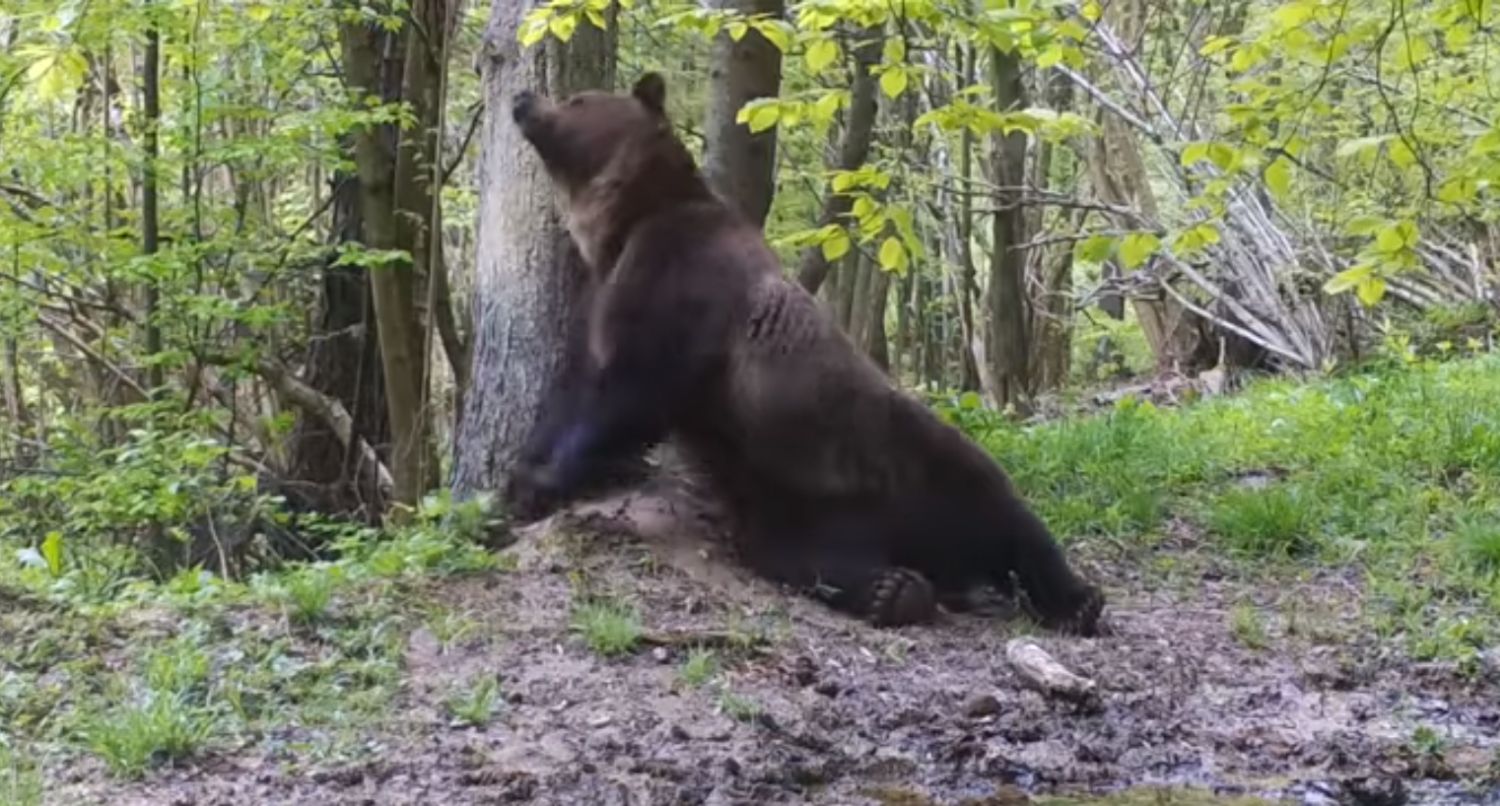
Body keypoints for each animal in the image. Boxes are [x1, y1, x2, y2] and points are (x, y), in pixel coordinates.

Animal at [504, 72, 1104, 630]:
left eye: (578, 98)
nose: (524, 98)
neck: (621, 228)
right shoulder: (600, 297)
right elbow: (574, 385)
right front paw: (523, 470)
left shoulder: (682, 281)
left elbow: (632, 391)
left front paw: (541, 482)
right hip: (788, 498)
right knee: (804, 556)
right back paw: (892, 590)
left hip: (900, 449)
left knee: (1001, 507)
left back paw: (1076, 598)